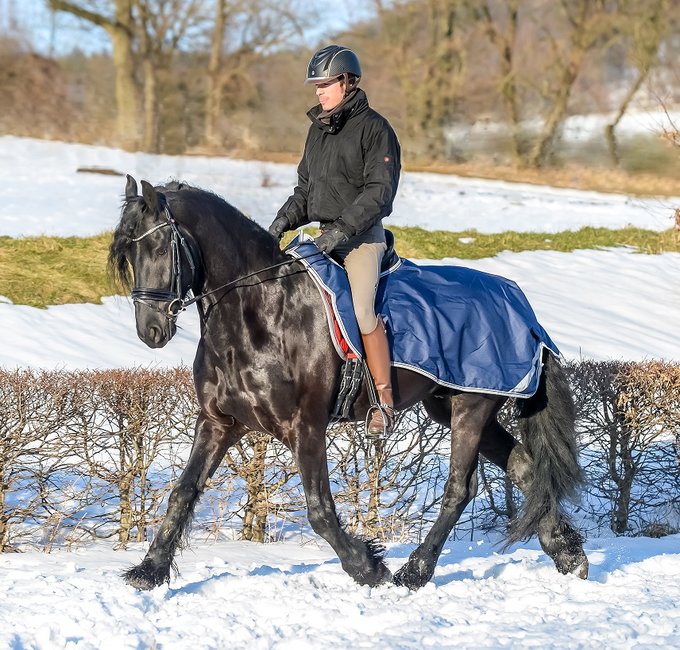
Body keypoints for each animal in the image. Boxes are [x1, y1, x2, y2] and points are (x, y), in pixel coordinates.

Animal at [109, 175, 588, 588]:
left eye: (158, 246)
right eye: (128, 256)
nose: (150, 330)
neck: (258, 309)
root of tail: (521, 307)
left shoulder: (305, 427)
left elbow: (320, 511)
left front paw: (367, 566)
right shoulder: (218, 422)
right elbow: (183, 492)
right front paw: (148, 571)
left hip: (472, 406)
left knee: (460, 488)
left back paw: (415, 571)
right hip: (455, 406)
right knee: (526, 467)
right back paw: (567, 553)